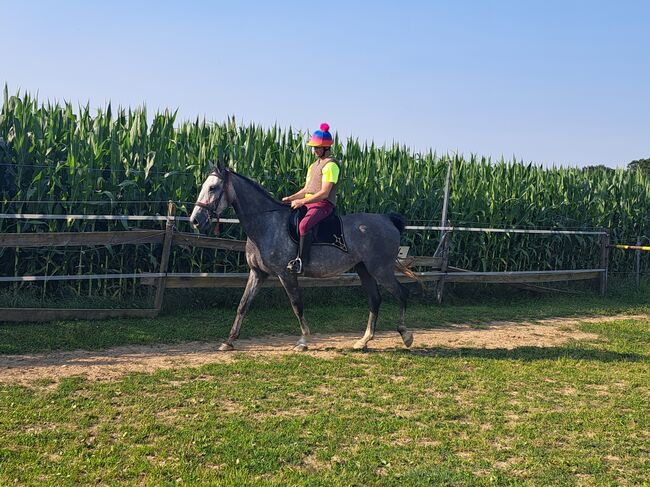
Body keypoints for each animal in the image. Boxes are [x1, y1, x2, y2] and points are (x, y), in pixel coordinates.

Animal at [187, 162, 412, 352]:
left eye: (213, 188)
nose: (195, 220)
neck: (266, 223)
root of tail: (387, 219)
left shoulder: (286, 274)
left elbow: (297, 305)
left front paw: (303, 341)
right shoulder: (257, 273)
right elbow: (243, 305)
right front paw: (229, 341)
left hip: (380, 269)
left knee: (402, 293)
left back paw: (405, 334)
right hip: (364, 269)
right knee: (375, 299)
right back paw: (364, 341)